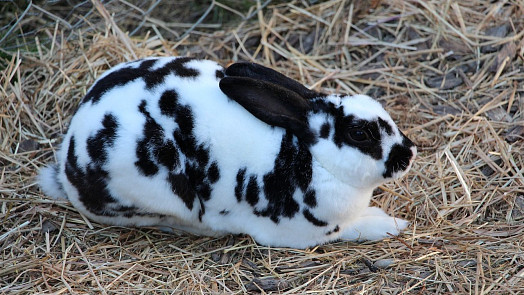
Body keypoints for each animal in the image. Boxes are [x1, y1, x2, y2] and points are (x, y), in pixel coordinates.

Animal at [37, 56, 418, 249]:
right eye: (360, 134)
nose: (409, 153)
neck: (313, 158)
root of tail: (68, 164)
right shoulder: (303, 234)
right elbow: (356, 229)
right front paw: (392, 225)